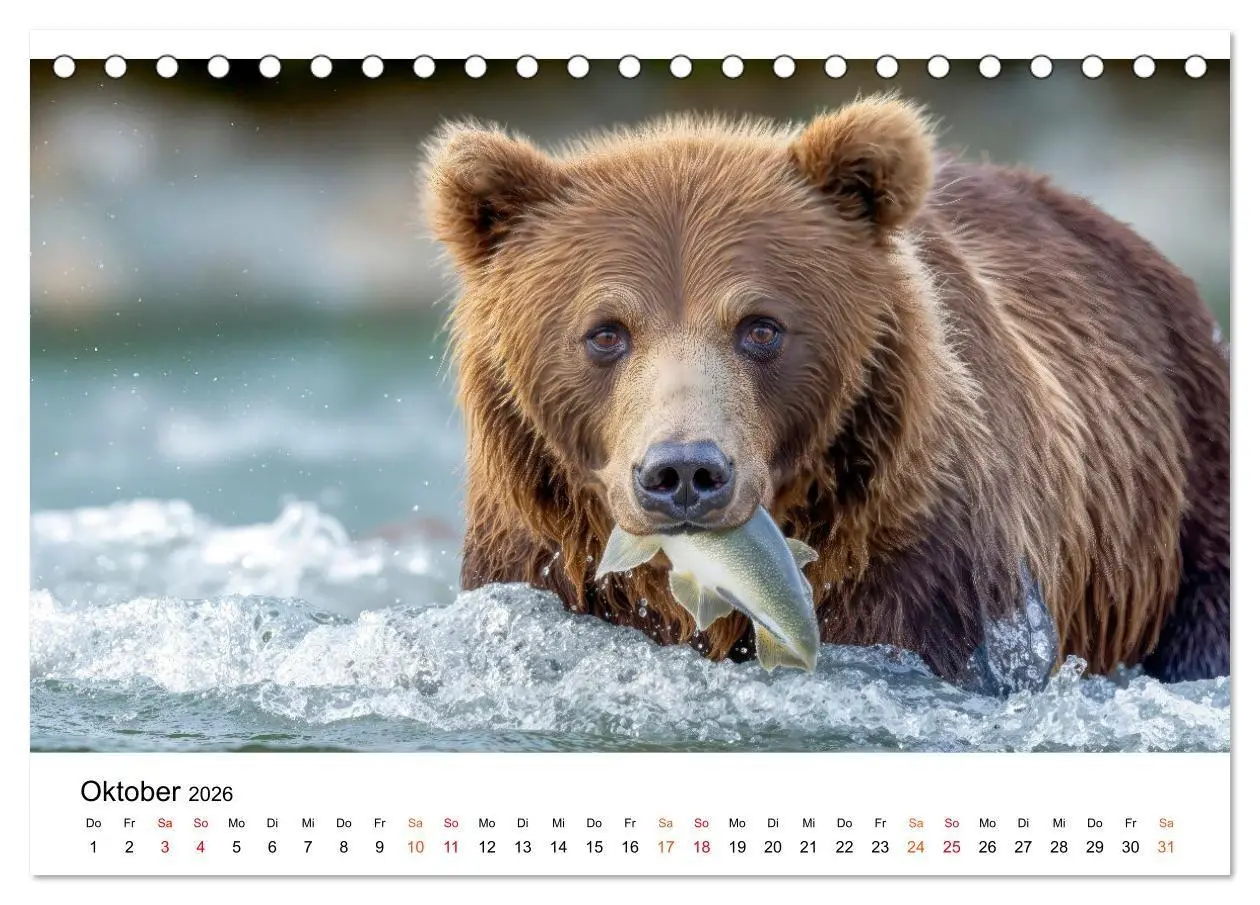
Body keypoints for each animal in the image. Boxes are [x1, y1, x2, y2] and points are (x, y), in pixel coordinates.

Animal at [419, 95, 1230, 687]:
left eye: (761, 326)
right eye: (606, 332)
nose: (683, 471)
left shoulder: (930, 573)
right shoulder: (544, 566)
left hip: (1192, 501)